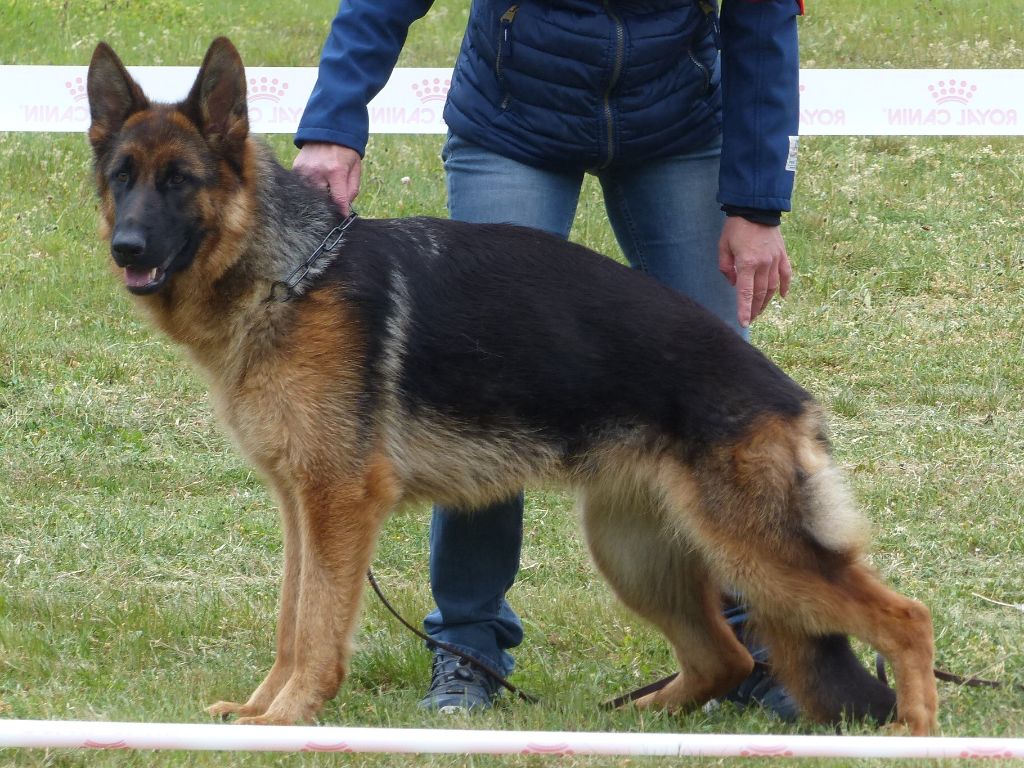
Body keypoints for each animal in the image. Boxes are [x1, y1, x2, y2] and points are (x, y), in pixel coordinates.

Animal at [86, 39, 937, 737]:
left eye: (180, 182)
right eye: (123, 179)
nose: (126, 247)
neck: (290, 273)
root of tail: (788, 397)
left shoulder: (337, 504)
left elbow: (319, 626)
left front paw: (290, 716)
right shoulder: (303, 507)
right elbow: (293, 619)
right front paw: (262, 709)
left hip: (755, 551)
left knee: (906, 617)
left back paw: (913, 731)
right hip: (634, 551)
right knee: (722, 657)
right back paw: (633, 719)